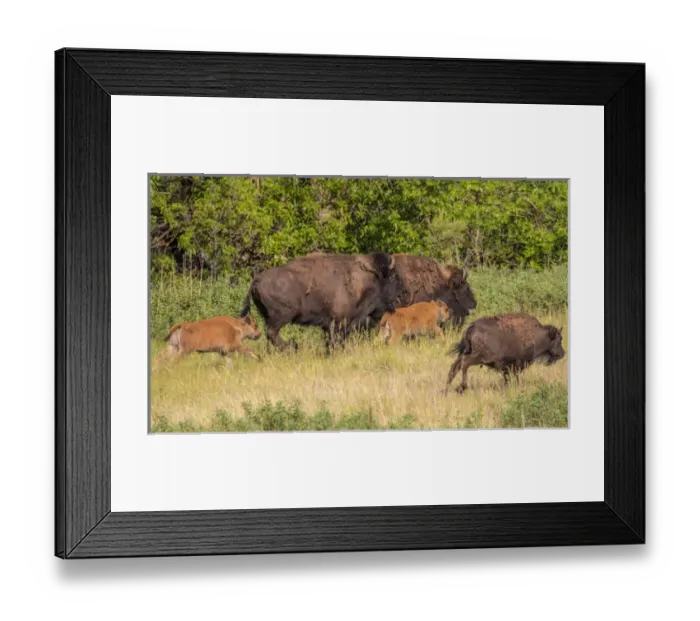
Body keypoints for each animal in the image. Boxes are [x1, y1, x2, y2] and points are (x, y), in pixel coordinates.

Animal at [239, 252, 399, 352]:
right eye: (391, 277)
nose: (396, 300)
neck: (367, 278)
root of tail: (257, 278)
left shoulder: (329, 324)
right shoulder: (340, 322)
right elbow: (337, 340)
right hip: (282, 316)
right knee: (271, 332)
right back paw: (293, 347)